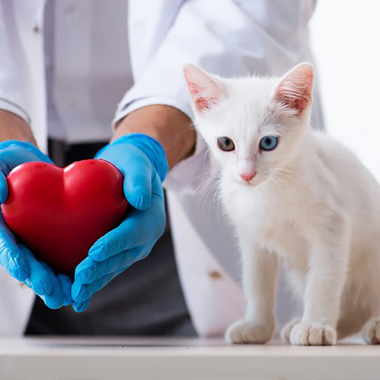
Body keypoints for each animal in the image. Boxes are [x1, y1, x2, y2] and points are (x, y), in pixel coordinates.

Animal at [183, 63, 380, 348]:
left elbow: (323, 281)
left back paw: (373, 325)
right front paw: (257, 327)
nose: (246, 174)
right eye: (226, 143)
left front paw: (315, 325)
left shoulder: (333, 226)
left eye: (268, 143)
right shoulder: (252, 238)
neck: (267, 192)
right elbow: (257, 283)